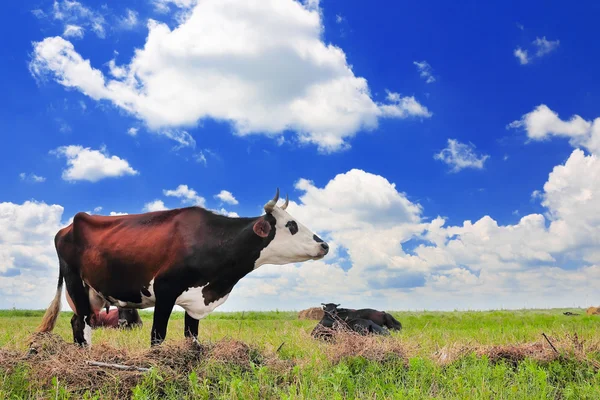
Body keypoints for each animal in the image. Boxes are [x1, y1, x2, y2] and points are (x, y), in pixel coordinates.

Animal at [37, 188, 328, 346]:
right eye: (291, 225)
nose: (325, 245)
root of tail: (68, 226)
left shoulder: (195, 302)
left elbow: (192, 338)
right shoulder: (165, 289)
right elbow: (157, 336)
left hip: (92, 293)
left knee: (77, 321)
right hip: (75, 283)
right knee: (82, 323)